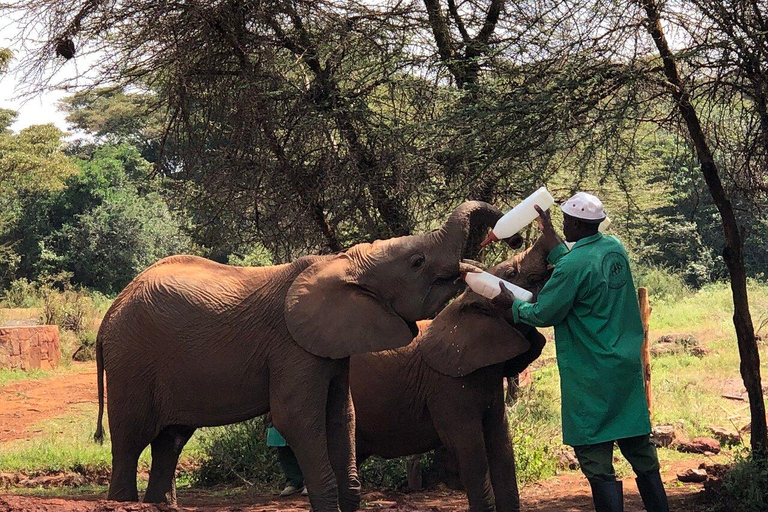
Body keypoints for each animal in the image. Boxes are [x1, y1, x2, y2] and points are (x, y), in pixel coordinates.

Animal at [96, 200, 516, 512]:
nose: (508, 239)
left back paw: (159, 503)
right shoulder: (291, 348)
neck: (341, 263)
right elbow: (296, 419)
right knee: (131, 437)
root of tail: (110, 314)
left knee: (172, 438)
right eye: (417, 262)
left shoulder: (332, 348)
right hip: (131, 359)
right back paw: (123, 498)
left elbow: (342, 417)